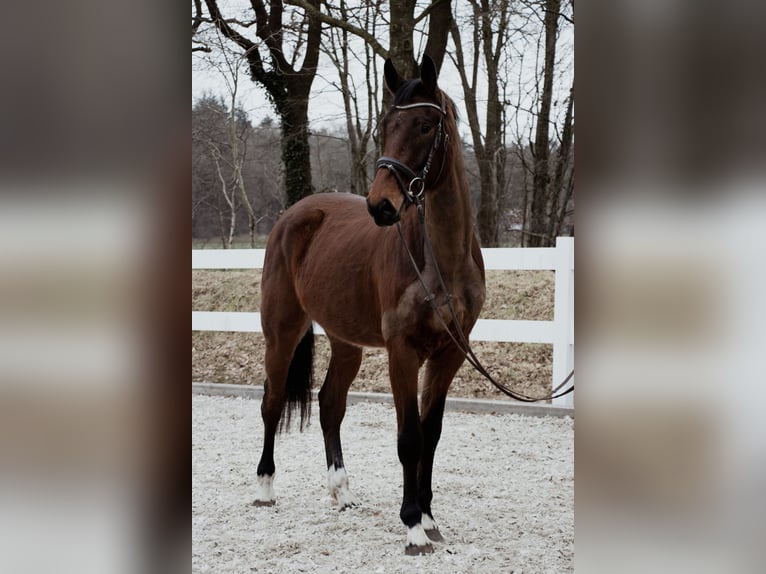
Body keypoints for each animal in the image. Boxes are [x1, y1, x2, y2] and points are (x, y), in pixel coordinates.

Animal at [256, 56, 486, 556]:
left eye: (425, 125)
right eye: (385, 125)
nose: (381, 205)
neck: (442, 259)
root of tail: (292, 215)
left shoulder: (450, 353)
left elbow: (432, 433)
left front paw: (430, 517)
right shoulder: (403, 350)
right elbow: (409, 438)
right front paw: (413, 525)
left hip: (346, 343)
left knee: (329, 404)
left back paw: (342, 492)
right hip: (281, 333)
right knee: (273, 401)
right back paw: (264, 488)